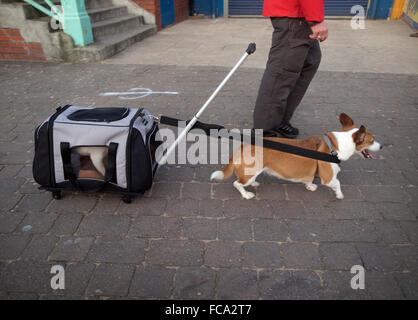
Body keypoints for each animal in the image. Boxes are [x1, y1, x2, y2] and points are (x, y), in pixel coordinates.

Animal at [212, 114, 382, 199]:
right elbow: (338, 183)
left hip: (252, 172)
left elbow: (309, 179)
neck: (335, 147)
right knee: (237, 183)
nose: (382, 146)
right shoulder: (328, 178)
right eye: (372, 141)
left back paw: (253, 184)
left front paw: (310, 186)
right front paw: (339, 195)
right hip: (249, 173)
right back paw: (246, 194)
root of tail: (242, 147)